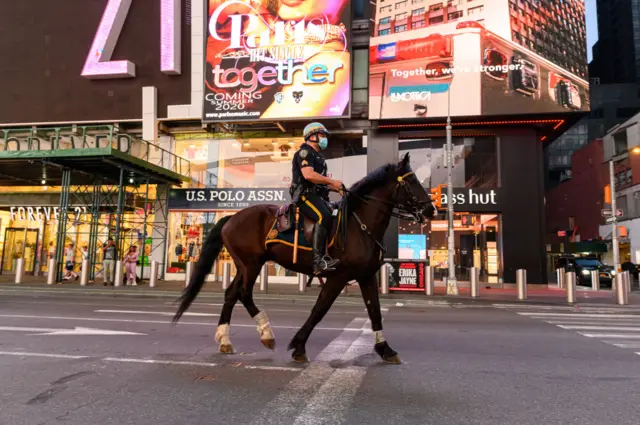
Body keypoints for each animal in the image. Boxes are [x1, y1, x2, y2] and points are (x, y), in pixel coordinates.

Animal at [172, 154, 438, 362]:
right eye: (412, 181)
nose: (431, 210)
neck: (359, 224)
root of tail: (232, 217)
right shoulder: (338, 277)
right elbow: (319, 309)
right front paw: (298, 346)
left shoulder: (366, 276)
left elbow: (375, 311)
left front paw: (385, 349)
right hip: (251, 264)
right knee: (244, 294)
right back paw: (267, 334)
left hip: (244, 265)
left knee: (231, 294)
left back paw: (225, 340)